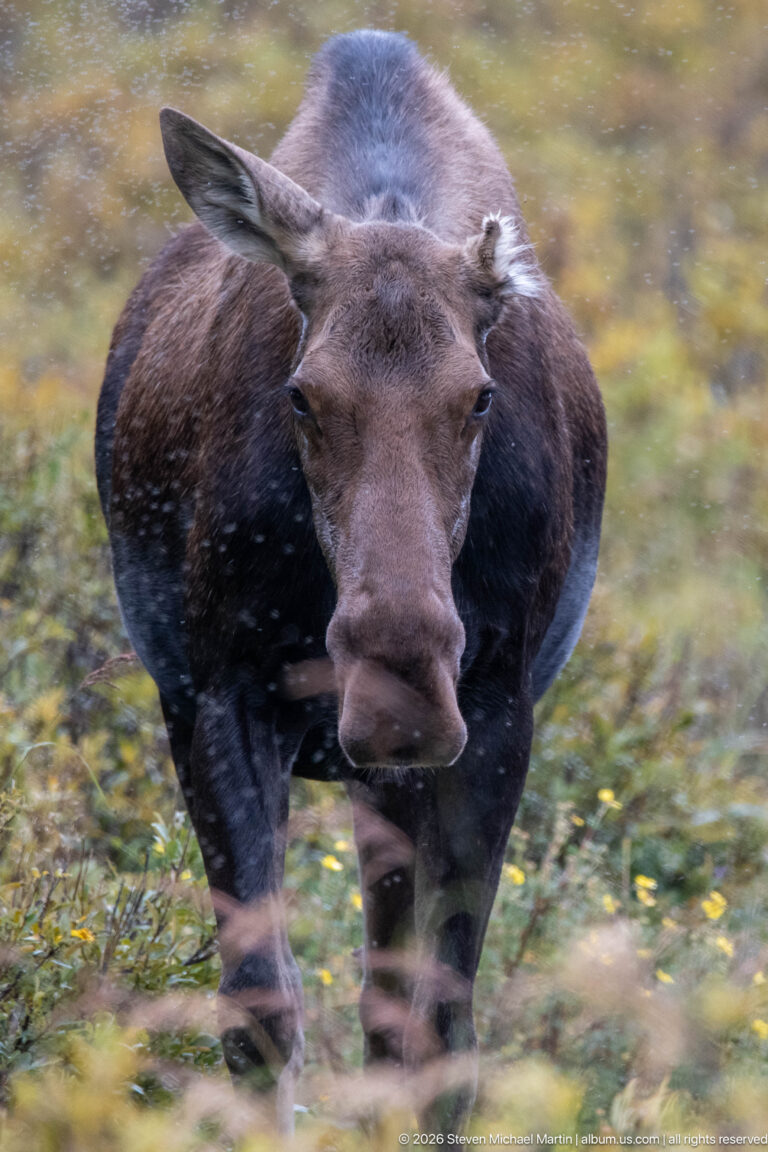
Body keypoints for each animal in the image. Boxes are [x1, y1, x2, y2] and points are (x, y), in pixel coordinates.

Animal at [95, 29, 607, 1135]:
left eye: (480, 396)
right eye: (302, 394)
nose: (397, 694)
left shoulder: (497, 715)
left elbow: (442, 1037)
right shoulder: (220, 696)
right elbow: (259, 1015)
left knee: (389, 1012)